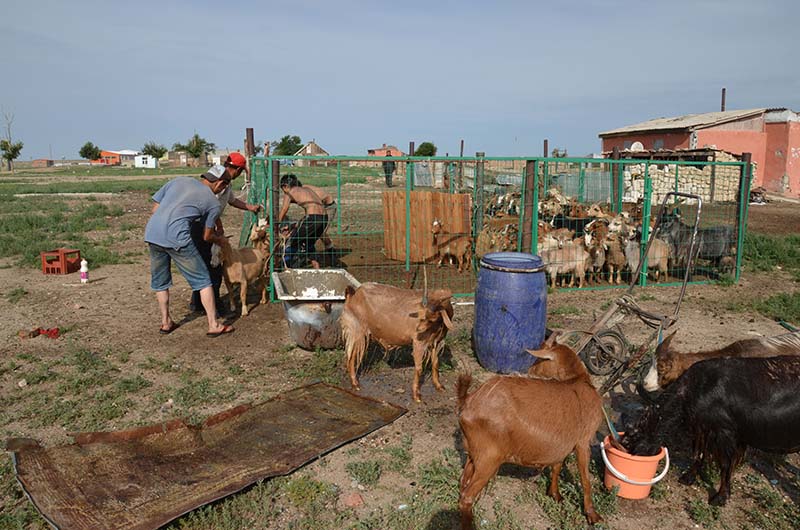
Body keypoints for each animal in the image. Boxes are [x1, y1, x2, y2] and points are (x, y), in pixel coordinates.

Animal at [456, 334, 600, 524]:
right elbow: (585, 480)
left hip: (474, 454)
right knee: (467, 497)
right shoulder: (584, 441)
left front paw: (555, 494)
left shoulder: (562, 443)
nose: (530, 371)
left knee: (462, 483)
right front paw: (592, 515)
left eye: (538, 360)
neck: (577, 380)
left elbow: (557, 466)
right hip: (489, 457)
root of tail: (468, 400)